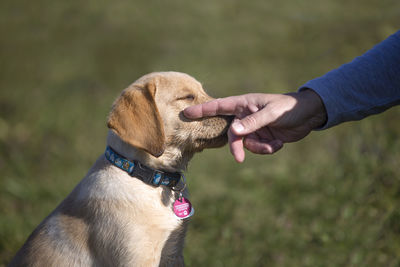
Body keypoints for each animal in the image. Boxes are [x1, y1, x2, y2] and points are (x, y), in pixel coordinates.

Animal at [9, 71, 231, 267]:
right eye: (187, 97)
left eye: (203, 91)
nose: (232, 116)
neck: (150, 178)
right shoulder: (137, 257)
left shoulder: (173, 254)